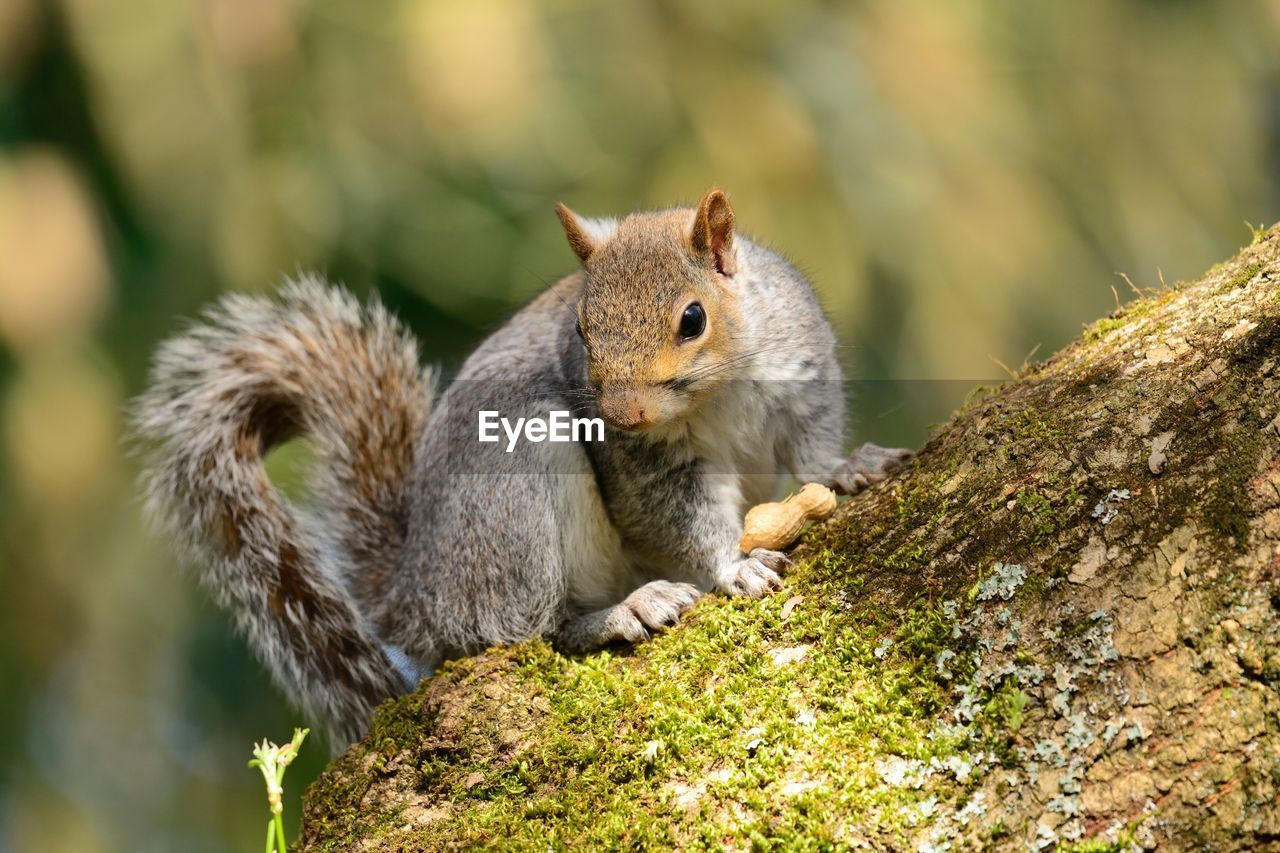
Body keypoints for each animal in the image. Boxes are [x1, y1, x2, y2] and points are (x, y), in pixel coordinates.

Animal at [132, 188, 911, 742]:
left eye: (693, 318)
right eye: (581, 329)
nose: (622, 413)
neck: (719, 392)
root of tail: (418, 590)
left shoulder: (801, 374)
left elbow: (812, 448)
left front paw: (850, 467)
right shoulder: (644, 465)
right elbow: (680, 518)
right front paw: (733, 567)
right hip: (512, 495)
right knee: (526, 627)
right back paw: (625, 610)